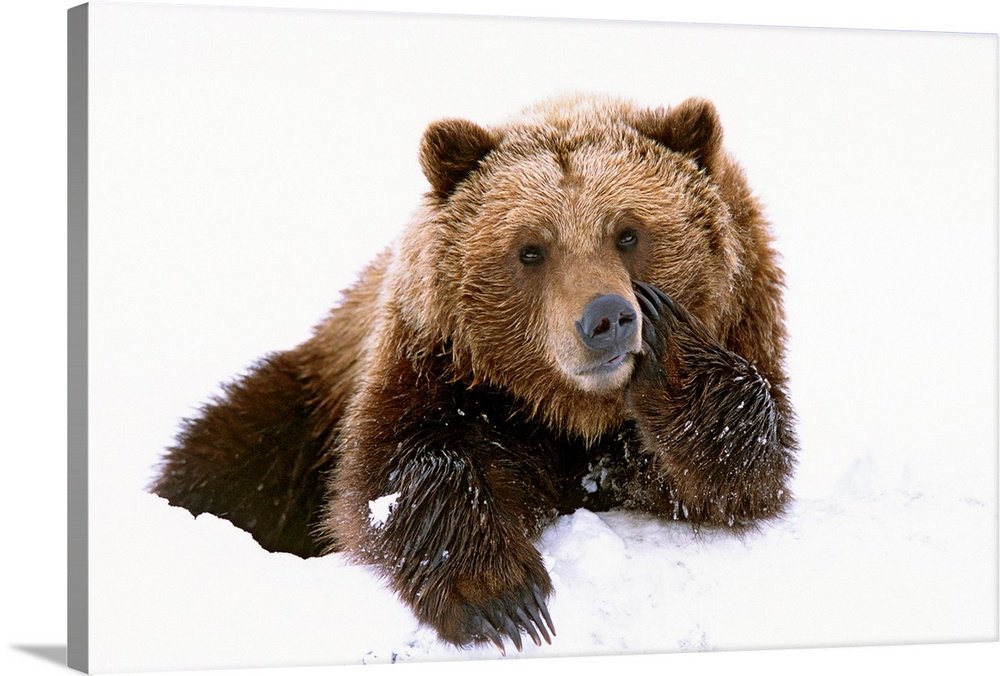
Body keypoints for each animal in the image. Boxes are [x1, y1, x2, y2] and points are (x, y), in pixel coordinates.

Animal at [151, 94, 797, 654]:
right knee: (229, 454)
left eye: (628, 232)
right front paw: (503, 597)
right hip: (304, 404)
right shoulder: (436, 362)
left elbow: (736, 474)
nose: (608, 318)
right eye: (530, 249)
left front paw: (672, 351)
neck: (570, 411)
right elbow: (397, 469)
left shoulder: (747, 321)